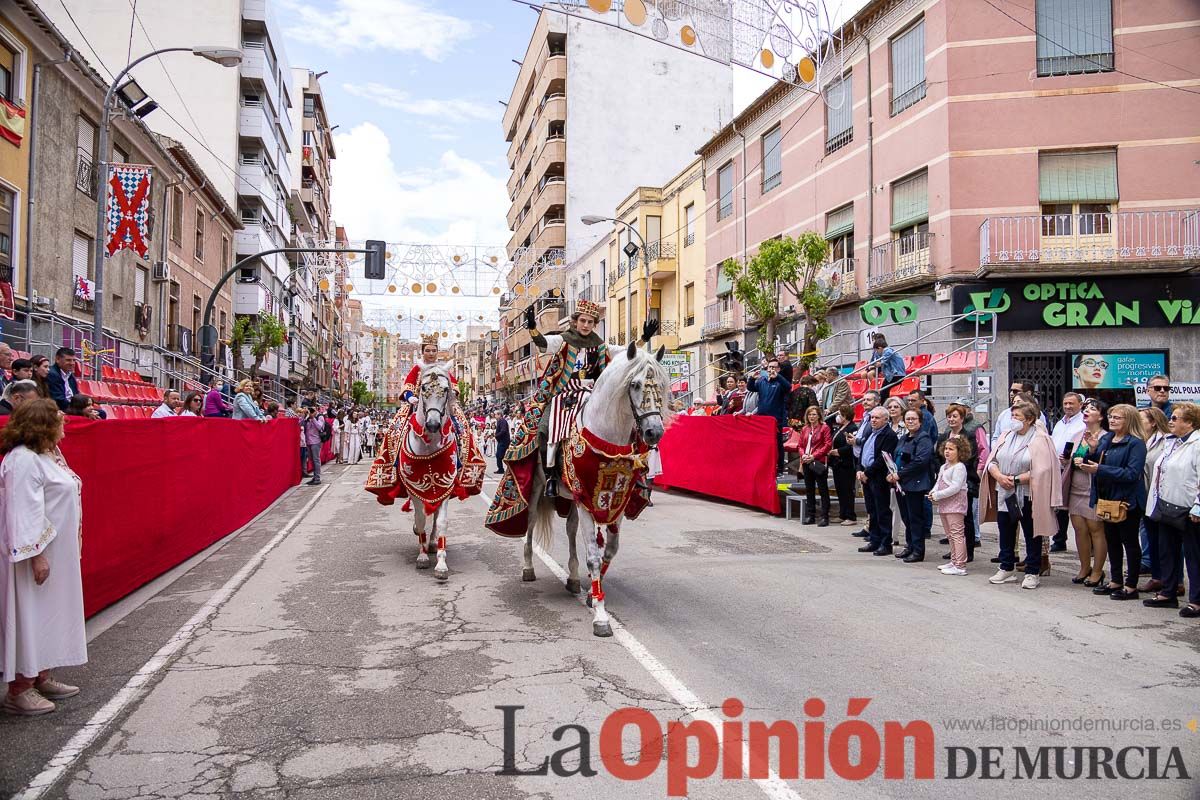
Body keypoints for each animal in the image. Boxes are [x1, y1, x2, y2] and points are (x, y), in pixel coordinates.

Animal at [525, 343, 676, 638]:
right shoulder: (586, 500)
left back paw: (573, 578)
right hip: (538, 487)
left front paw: (591, 596)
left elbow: (610, 550)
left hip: (571, 499)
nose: (654, 432)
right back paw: (527, 568)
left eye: (662, 386)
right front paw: (601, 617)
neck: (608, 441)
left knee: (570, 529)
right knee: (531, 523)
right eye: (635, 384)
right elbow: (594, 557)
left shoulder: (615, 501)